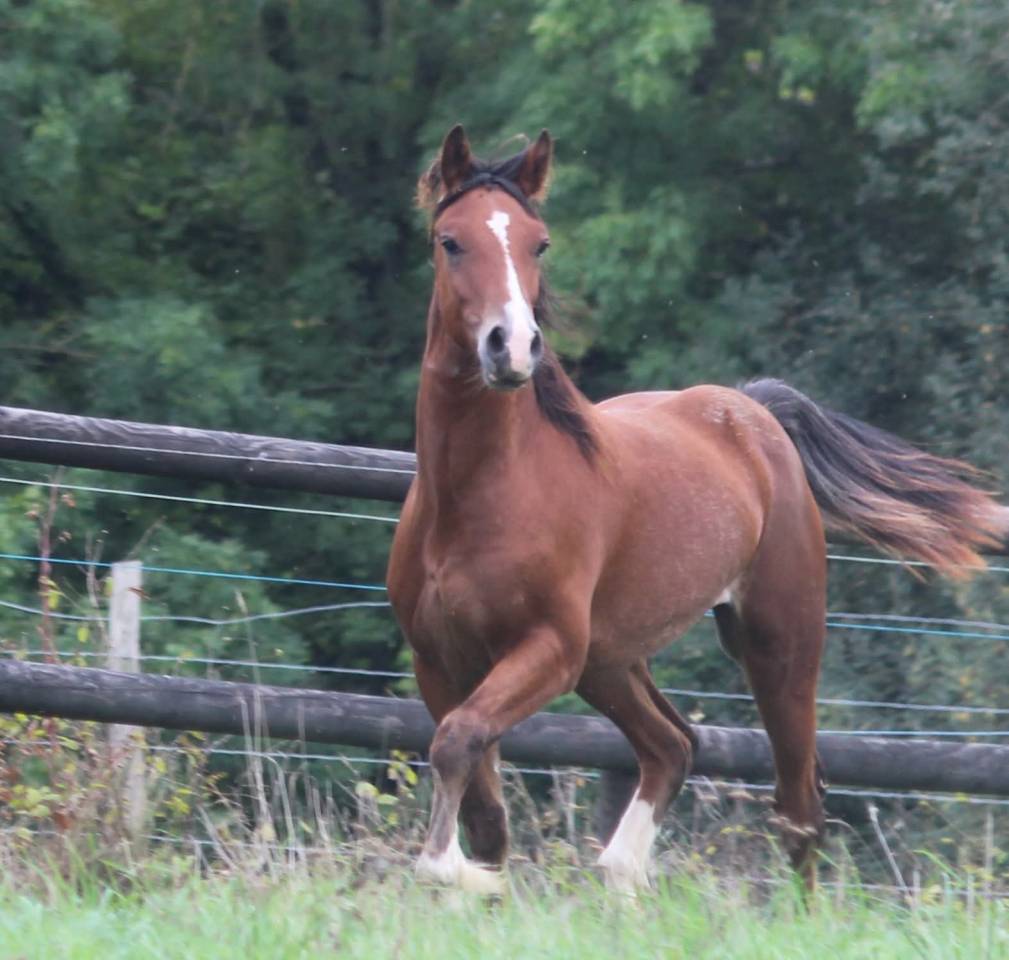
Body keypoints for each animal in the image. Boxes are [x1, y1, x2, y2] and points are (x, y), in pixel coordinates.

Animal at [386, 124, 1009, 895]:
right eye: (450, 241)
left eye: (539, 243)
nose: (513, 347)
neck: (476, 495)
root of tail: (752, 411)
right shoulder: (439, 660)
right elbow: (481, 804)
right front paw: (477, 883)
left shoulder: (548, 649)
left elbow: (458, 745)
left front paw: (452, 873)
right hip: (612, 659)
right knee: (675, 746)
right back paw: (621, 875)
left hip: (775, 641)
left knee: (798, 805)